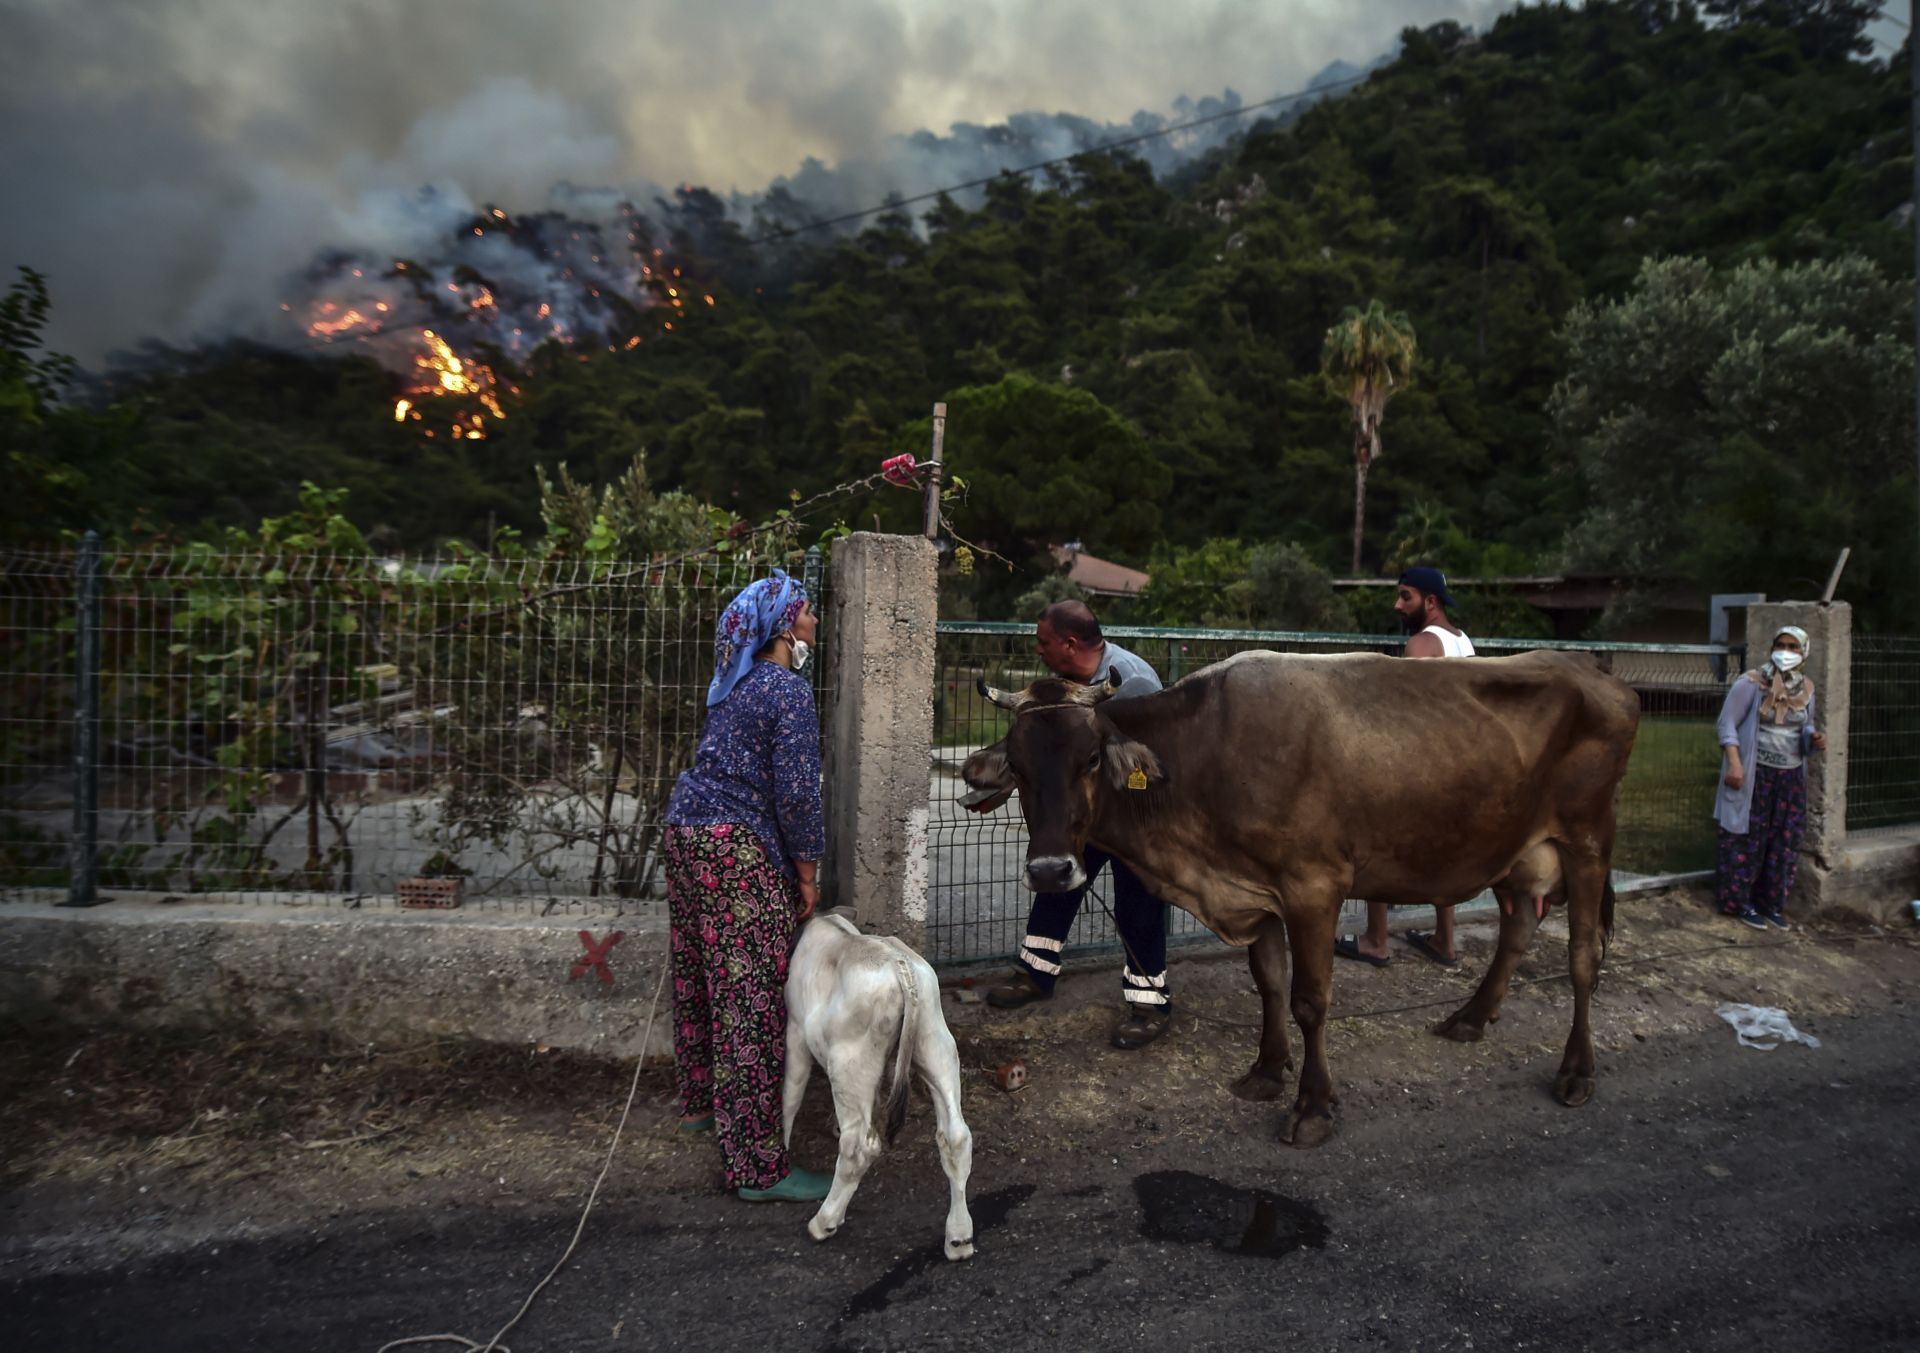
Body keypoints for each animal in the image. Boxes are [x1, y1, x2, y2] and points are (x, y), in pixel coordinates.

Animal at [779, 905, 975, 1258]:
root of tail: (900, 967)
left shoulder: (796, 1033)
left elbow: (791, 1093)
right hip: (935, 1044)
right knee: (956, 1136)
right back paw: (959, 1237)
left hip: (849, 1064)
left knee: (858, 1147)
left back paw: (824, 1222)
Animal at [967, 648, 1643, 1143]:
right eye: (1019, 768)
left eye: (1089, 759)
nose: (1050, 871)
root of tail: (1596, 672)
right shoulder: (1254, 890)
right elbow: (1269, 983)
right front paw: (1266, 1071)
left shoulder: (1314, 887)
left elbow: (1310, 1000)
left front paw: (1313, 1107)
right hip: (1517, 849)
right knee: (1519, 926)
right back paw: (1471, 1018)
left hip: (1587, 840)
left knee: (1584, 956)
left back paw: (1576, 1071)